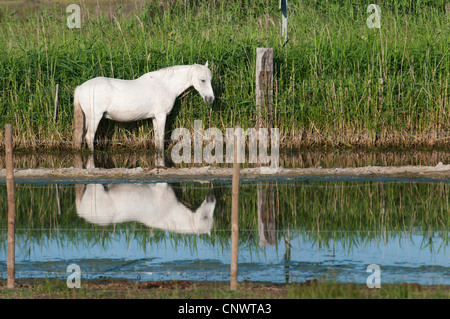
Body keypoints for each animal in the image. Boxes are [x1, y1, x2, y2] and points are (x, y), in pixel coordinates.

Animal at [74, 62, 214, 168]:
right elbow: (161, 139)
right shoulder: (161, 116)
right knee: (89, 137)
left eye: (210, 80)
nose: (210, 99)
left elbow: (157, 140)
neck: (165, 86)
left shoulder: (154, 118)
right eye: (202, 80)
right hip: (95, 117)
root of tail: (80, 87)